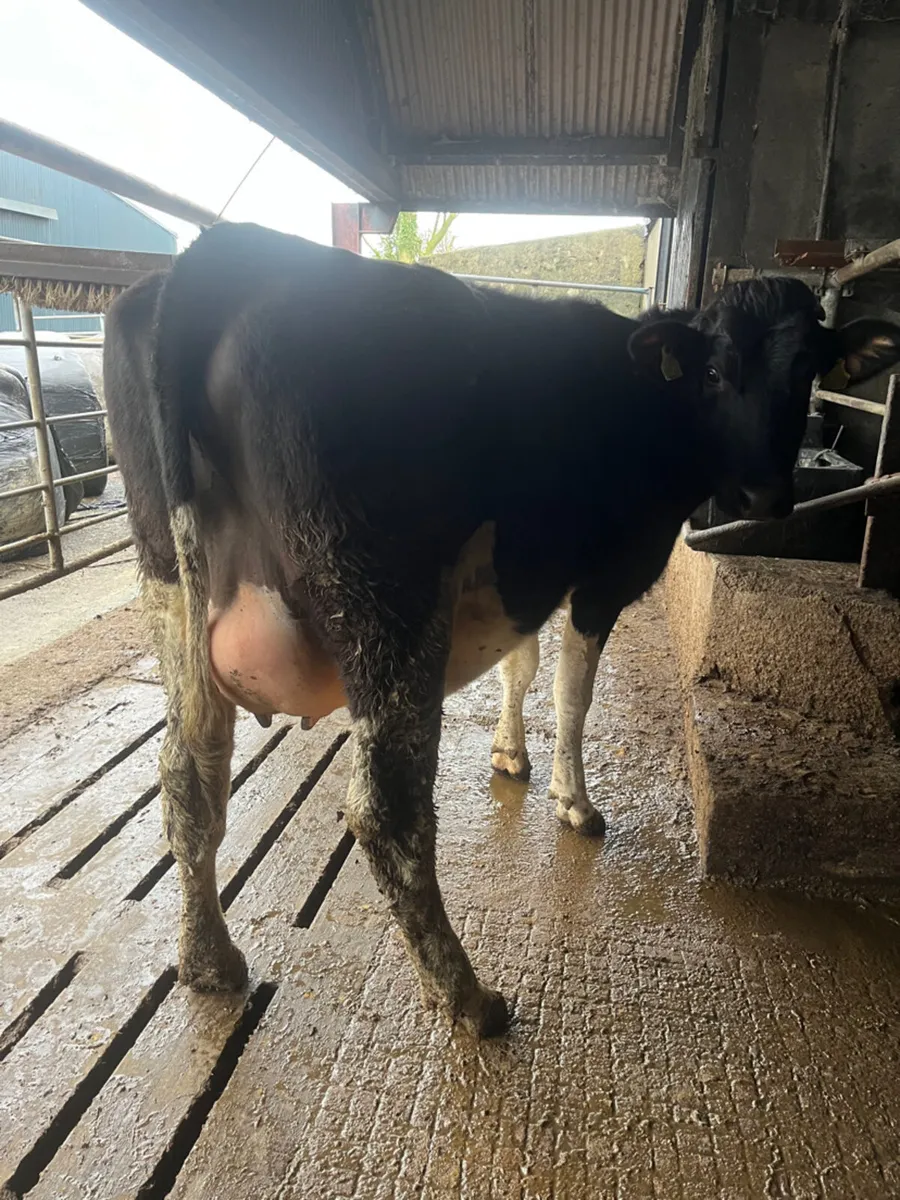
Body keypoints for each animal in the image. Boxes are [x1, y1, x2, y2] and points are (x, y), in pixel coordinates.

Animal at [105, 222, 900, 1037]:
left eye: (809, 370)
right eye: (714, 368)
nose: (765, 496)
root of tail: (232, 249)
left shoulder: (526, 574)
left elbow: (522, 663)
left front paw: (509, 755)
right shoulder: (607, 574)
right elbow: (572, 694)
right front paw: (573, 800)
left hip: (170, 584)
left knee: (187, 777)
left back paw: (207, 960)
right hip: (386, 601)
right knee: (386, 810)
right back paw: (467, 997)